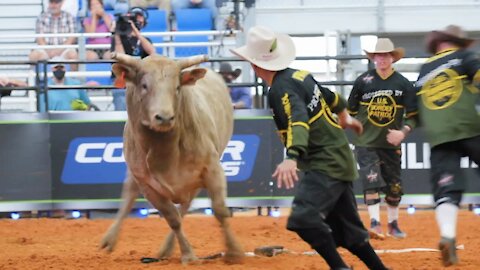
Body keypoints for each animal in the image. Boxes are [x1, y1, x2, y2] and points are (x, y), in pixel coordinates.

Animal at [100, 52, 244, 264]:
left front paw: (234, 251)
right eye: (144, 85)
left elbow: (219, 210)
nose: (165, 117)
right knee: (130, 194)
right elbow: (173, 219)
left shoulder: (212, 168)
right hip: (136, 175)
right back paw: (110, 239)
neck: (166, 152)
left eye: (177, 87)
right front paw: (189, 255)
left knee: (185, 205)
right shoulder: (147, 185)